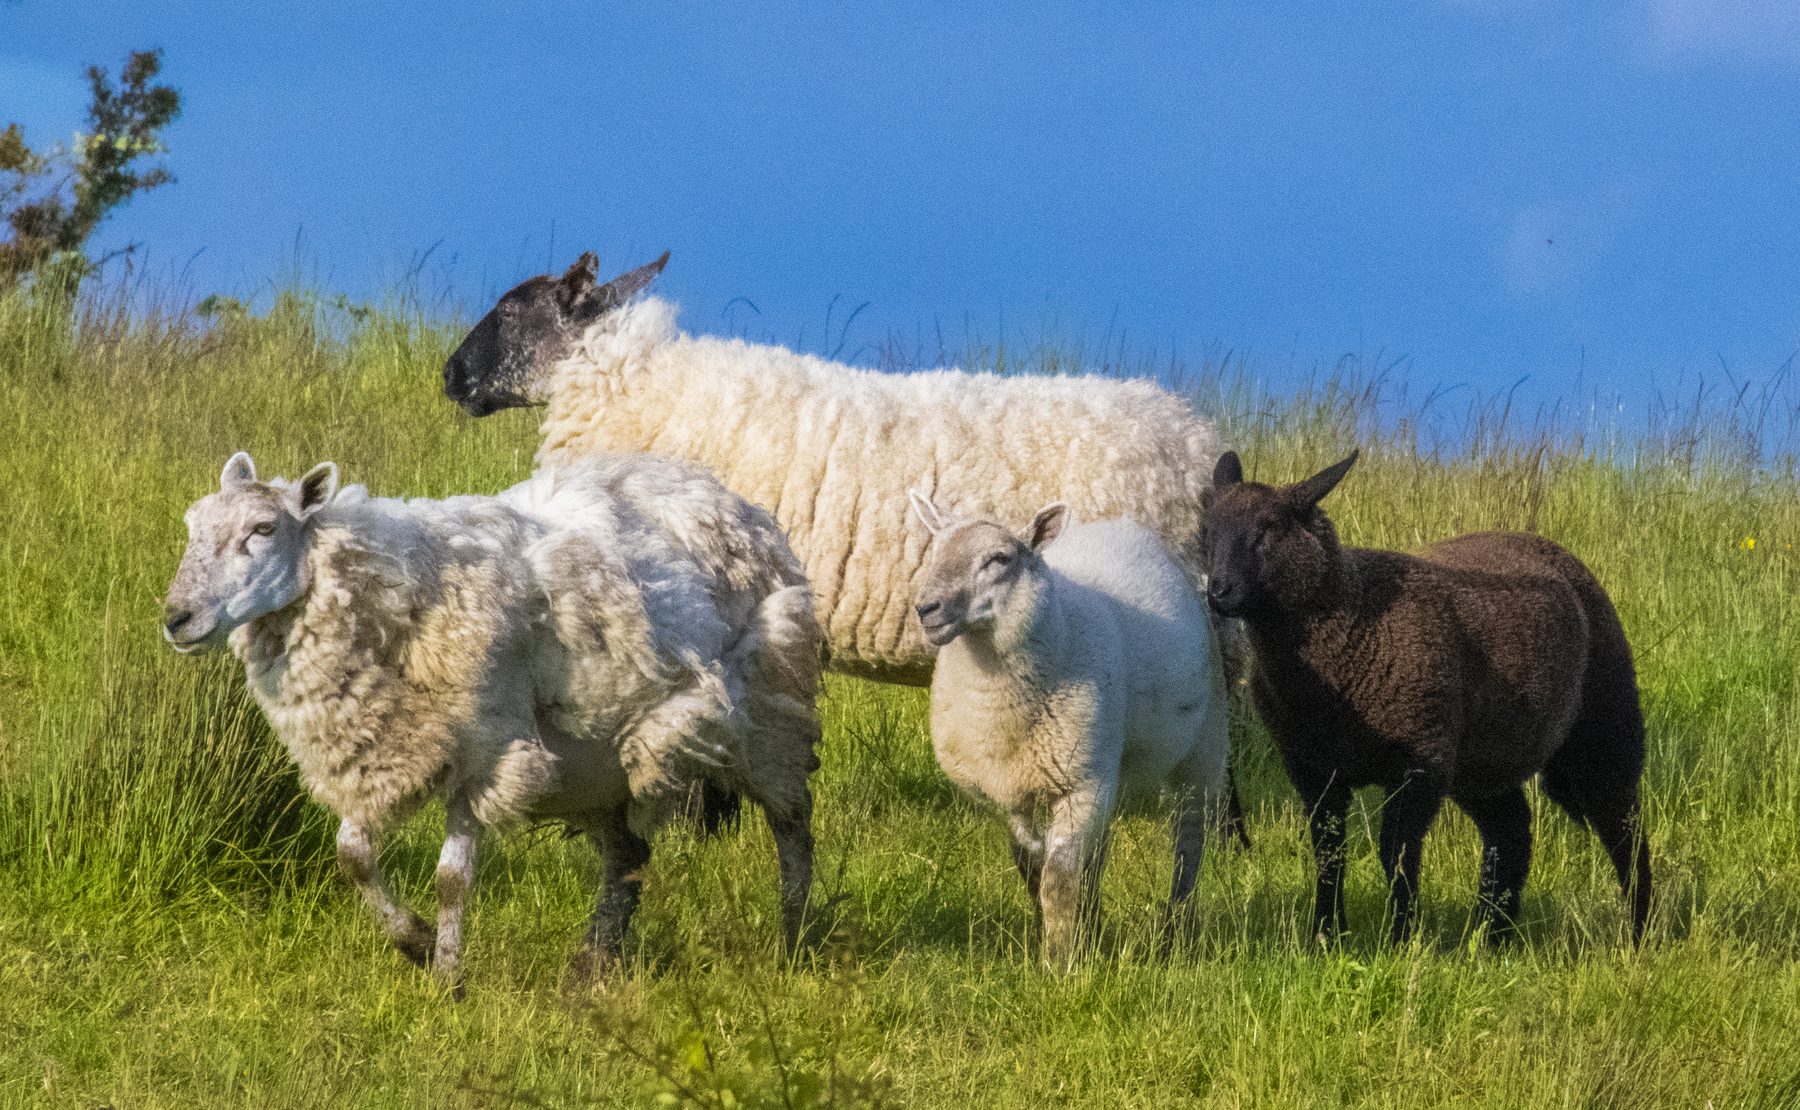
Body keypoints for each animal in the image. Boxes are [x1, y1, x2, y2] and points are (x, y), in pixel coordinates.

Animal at [162, 450, 822, 985]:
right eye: (191, 528)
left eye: (263, 529)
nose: (176, 618)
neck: (396, 588)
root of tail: (723, 493)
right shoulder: (386, 751)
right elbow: (351, 856)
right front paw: (415, 942)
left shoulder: (486, 751)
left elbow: (451, 879)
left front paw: (446, 978)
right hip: (594, 767)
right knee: (629, 857)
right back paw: (593, 964)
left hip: (770, 714)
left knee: (793, 828)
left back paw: (791, 941)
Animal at [908, 491, 1231, 963]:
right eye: (934, 552)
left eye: (999, 559)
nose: (926, 608)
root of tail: (1120, 527)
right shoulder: (1013, 791)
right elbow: (1032, 867)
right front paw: (1067, 936)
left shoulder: (1080, 783)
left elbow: (1058, 877)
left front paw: (1059, 960)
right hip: (1109, 761)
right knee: (1098, 854)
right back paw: (1095, 925)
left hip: (1201, 748)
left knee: (1189, 839)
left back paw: (1176, 925)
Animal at [1198, 449, 1652, 944]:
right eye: (1206, 530)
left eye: (1269, 528)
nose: (1217, 591)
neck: (1355, 621)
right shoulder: (1312, 766)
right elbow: (1329, 851)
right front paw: (1326, 935)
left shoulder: (1420, 761)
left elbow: (1395, 851)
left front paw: (1400, 938)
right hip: (1481, 759)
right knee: (1511, 831)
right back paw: (1492, 936)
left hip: (1603, 723)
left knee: (1623, 826)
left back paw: (1639, 929)